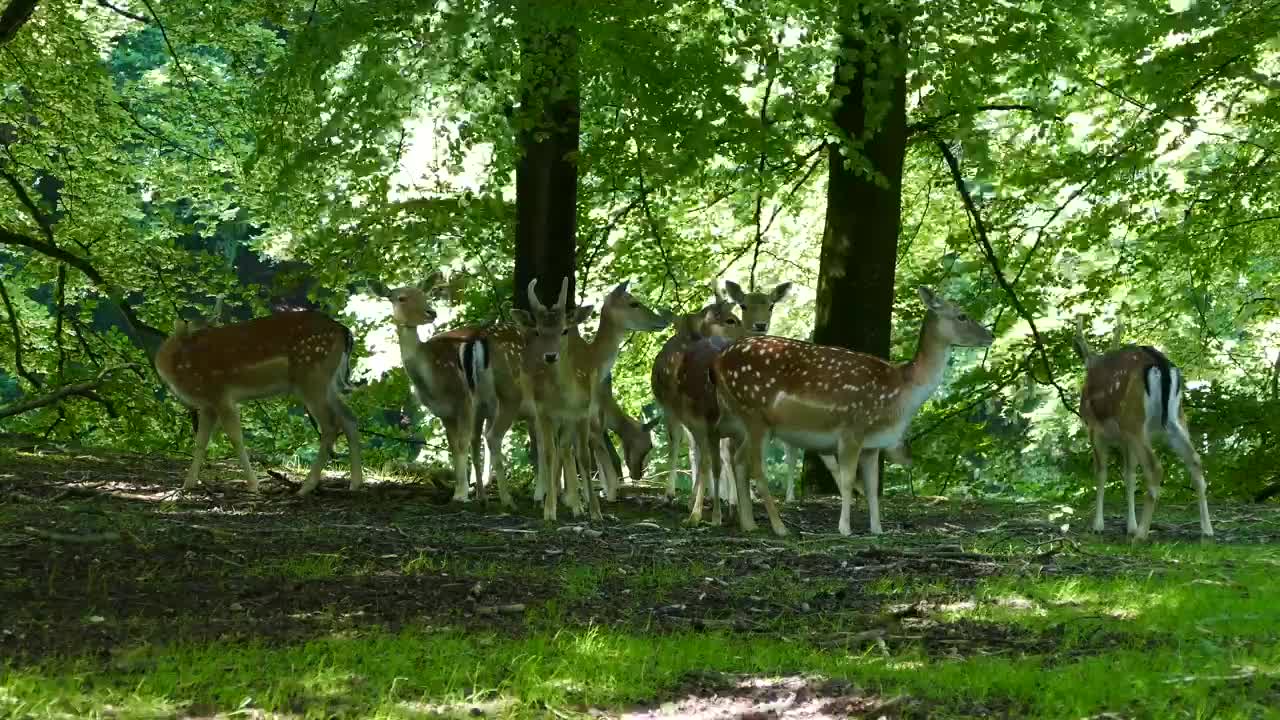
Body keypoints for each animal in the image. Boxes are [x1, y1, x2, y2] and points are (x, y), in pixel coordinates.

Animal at [158, 304, 366, 497]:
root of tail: (344, 331)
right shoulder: (207, 404)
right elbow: (200, 442)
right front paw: (187, 484)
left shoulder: (221, 395)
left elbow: (235, 437)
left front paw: (253, 485)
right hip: (328, 383)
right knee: (349, 418)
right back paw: (355, 483)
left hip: (312, 377)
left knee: (330, 425)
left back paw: (305, 487)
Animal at [716, 285, 993, 532]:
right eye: (962, 315)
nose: (991, 336)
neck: (901, 393)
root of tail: (719, 361)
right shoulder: (852, 430)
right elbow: (848, 480)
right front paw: (845, 529)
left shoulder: (873, 445)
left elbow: (872, 487)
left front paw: (877, 529)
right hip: (754, 414)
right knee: (755, 467)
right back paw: (779, 527)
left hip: (748, 421)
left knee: (738, 459)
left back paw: (749, 524)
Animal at [1075, 315, 1213, 538]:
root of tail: (1160, 363)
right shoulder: (1125, 439)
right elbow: (1129, 475)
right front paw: (1129, 526)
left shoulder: (1095, 429)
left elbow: (1102, 473)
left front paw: (1098, 525)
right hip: (1176, 419)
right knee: (1195, 460)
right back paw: (1207, 530)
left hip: (1135, 421)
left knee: (1155, 468)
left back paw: (1141, 534)